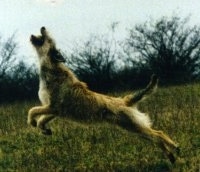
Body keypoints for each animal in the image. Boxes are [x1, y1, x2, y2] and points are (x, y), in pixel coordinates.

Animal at [27, 26, 179, 163]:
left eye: (49, 39)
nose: (43, 27)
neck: (52, 69)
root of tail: (124, 101)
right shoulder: (54, 110)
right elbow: (41, 118)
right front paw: (43, 129)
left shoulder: (53, 107)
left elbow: (32, 110)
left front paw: (32, 122)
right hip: (134, 129)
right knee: (157, 137)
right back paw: (171, 155)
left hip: (132, 126)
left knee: (158, 135)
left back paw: (174, 148)